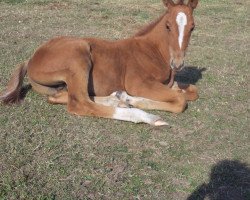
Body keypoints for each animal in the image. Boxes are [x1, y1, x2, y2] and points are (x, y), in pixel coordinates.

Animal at [0, 0, 199, 125]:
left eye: (192, 27)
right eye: (167, 25)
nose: (178, 63)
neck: (152, 51)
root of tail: (31, 58)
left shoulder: (168, 83)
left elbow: (192, 91)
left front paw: (127, 98)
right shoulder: (139, 83)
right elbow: (180, 100)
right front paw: (132, 99)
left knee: (61, 96)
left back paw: (118, 99)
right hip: (79, 55)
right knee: (79, 103)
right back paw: (146, 116)